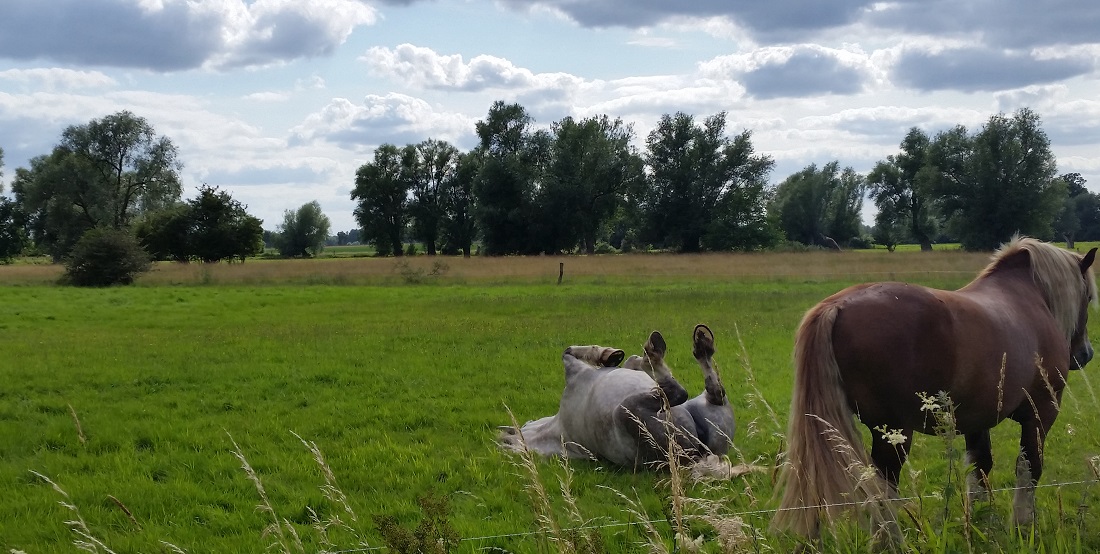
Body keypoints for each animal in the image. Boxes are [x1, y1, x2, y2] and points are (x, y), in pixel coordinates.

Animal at [503, 325, 734, 472]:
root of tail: (699, 457)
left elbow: (627, 361)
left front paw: (610, 356)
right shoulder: (573, 370)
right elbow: (567, 351)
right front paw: (610, 355)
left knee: (712, 392)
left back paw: (699, 343)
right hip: (627, 410)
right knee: (683, 393)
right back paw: (670, 350)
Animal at [770, 236, 1095, 543]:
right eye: (1090, 297)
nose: (1086, 354)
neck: (1027, 300)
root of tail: (836, 306)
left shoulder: (976, 421)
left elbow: (978, 471)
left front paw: (975, 527)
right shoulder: (1040, 413)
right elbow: (1029, 469)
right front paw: (1022, 527)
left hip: (826, 429)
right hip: (893, 434)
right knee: (884, 490)